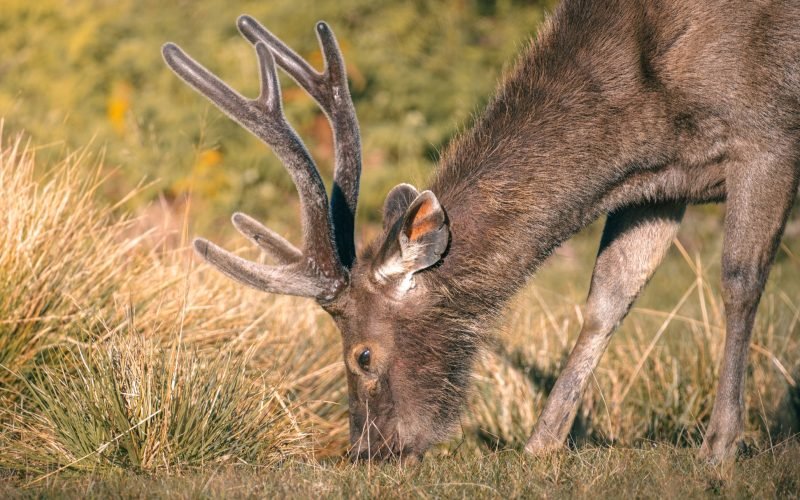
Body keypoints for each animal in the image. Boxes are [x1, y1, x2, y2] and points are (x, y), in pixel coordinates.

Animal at [163, 0, 800, 463]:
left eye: (362, 356)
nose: (365, 451)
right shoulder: (663, 183)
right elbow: (607, 300)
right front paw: (540, 446)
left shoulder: (768, 134)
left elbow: (740, 282)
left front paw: (720, 447)